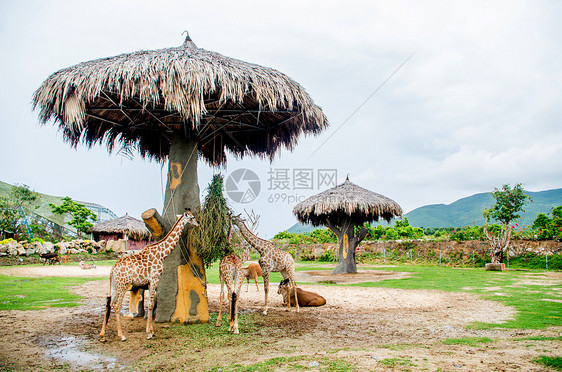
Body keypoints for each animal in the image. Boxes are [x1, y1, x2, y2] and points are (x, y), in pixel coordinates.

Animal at [98, 211, 197, 342]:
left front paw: (151, 331)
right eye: (192, 217)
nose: (197, 223)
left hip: (114, 285)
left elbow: (151, 304)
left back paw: (103, 335)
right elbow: (150, 304)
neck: (162, 253)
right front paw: (149, 333)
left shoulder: (150, 281)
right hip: (123, 285)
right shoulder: (154, 278)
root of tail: (113, 270)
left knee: (109, 304)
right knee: (116, 305)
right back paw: (122, 335)